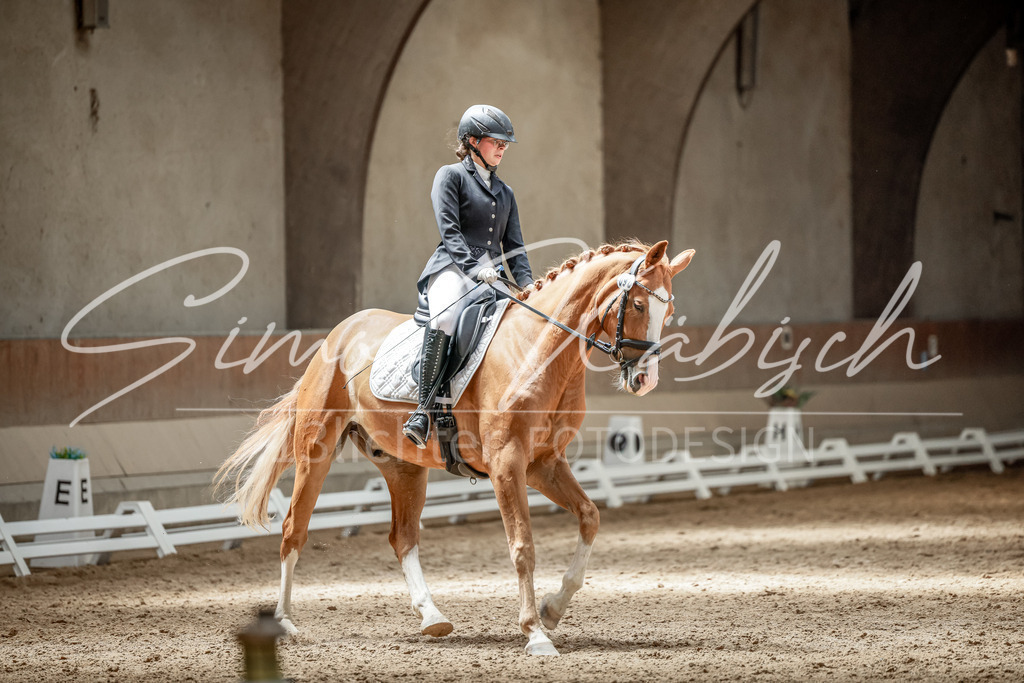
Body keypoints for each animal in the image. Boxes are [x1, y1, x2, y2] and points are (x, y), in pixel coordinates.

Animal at [215, 239, 695, 656]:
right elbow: (522, 547)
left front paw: (552, 609)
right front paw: (535, 634)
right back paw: (284, 621)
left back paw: (432, 617)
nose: (645, 380)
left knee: (403, 537)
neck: (537, 352)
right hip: (314, 452)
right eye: (638, 305)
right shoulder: (507, 464)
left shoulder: (543, 463)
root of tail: (338, 333)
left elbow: (590, 517)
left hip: (403, 466)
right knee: (293, 529)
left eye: (669, 309)